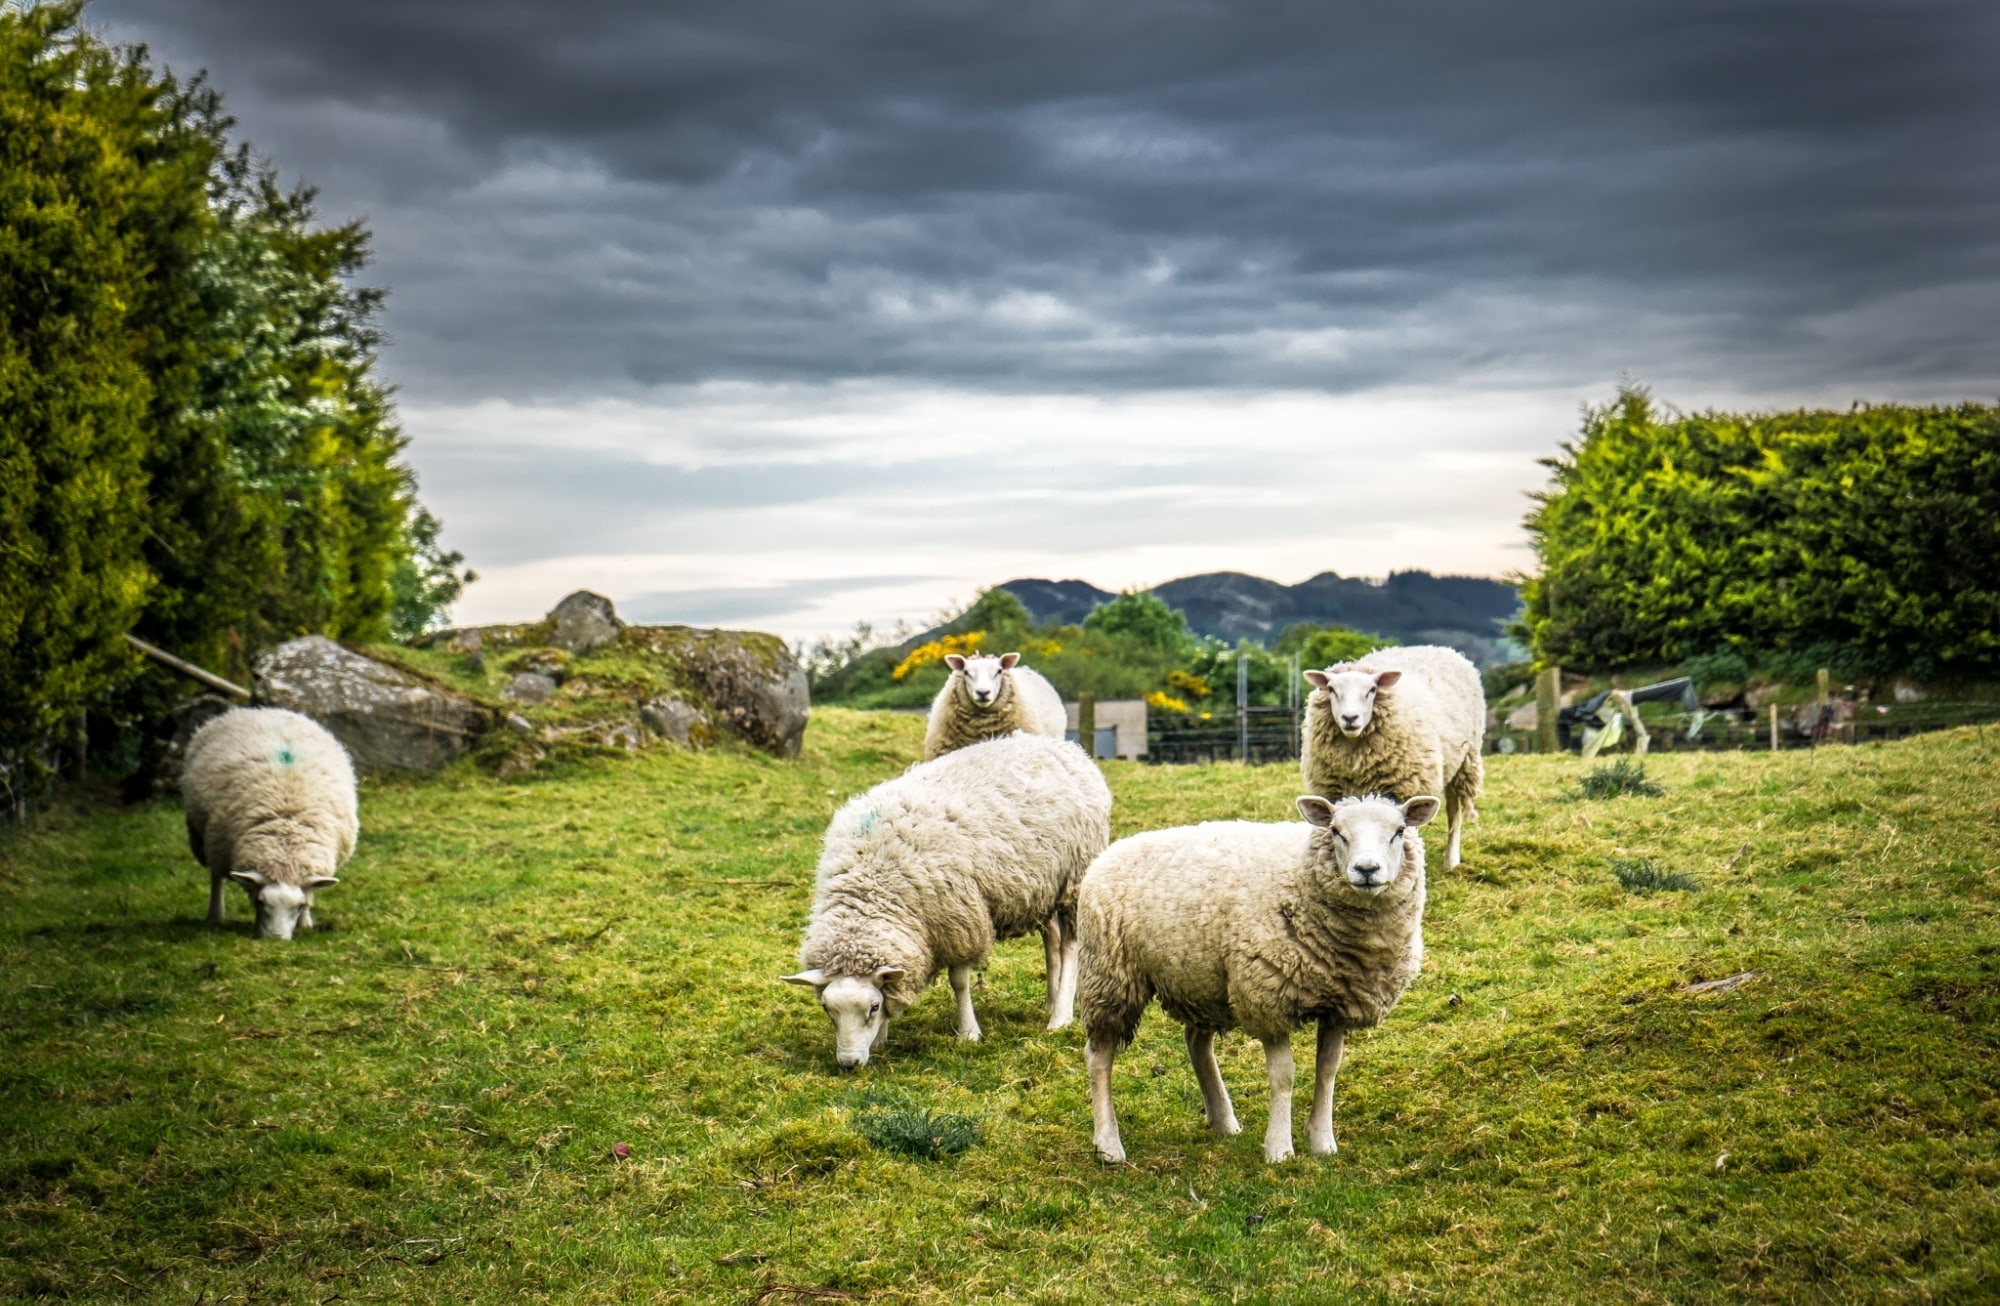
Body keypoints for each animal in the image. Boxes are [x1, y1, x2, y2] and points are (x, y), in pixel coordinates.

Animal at [181, 707, 359, 941]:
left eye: (299, 906)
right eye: (260, 903)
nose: (275, 940)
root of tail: (261, 709)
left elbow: (310, 890)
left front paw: (305, 922)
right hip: (207, 837)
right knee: (216, 877)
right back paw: (215, 915)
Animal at [783, 732, 1111, 1068]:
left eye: (872, 1007)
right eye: (827, 1009)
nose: (849, 1064)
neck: (871, 884)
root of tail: (1061, 745)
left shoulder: (959, 921)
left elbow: (959, 982)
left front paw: (968, 1033)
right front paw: (882, 1038)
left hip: (1075, 874)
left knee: (1069, 945)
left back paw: (1060, 1016)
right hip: (1042, 886)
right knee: (1052, 940)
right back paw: (1051, 999)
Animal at [1079, 792, 1439, 1163]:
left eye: (1399, 830)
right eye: (1336, 831)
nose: (1367, 870)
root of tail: (1109, 853)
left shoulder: (1340, 1004)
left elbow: (1327, 1070)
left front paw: (1322, 1141)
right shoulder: (1268, 999)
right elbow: (1284, 1077)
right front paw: (1279, 1148)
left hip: (1202, 979)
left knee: (1196, 1043)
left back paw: (1223, 1120)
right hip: (1110, 975)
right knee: (1099, 1056)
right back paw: (1109, 1144)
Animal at [1300, 644, 1485, 867]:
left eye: (1371, 690)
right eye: (1332, 690)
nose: (1350, 718)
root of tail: (1438, 648)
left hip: (1464, 761)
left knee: (1454, 811)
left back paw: (1451, 860)